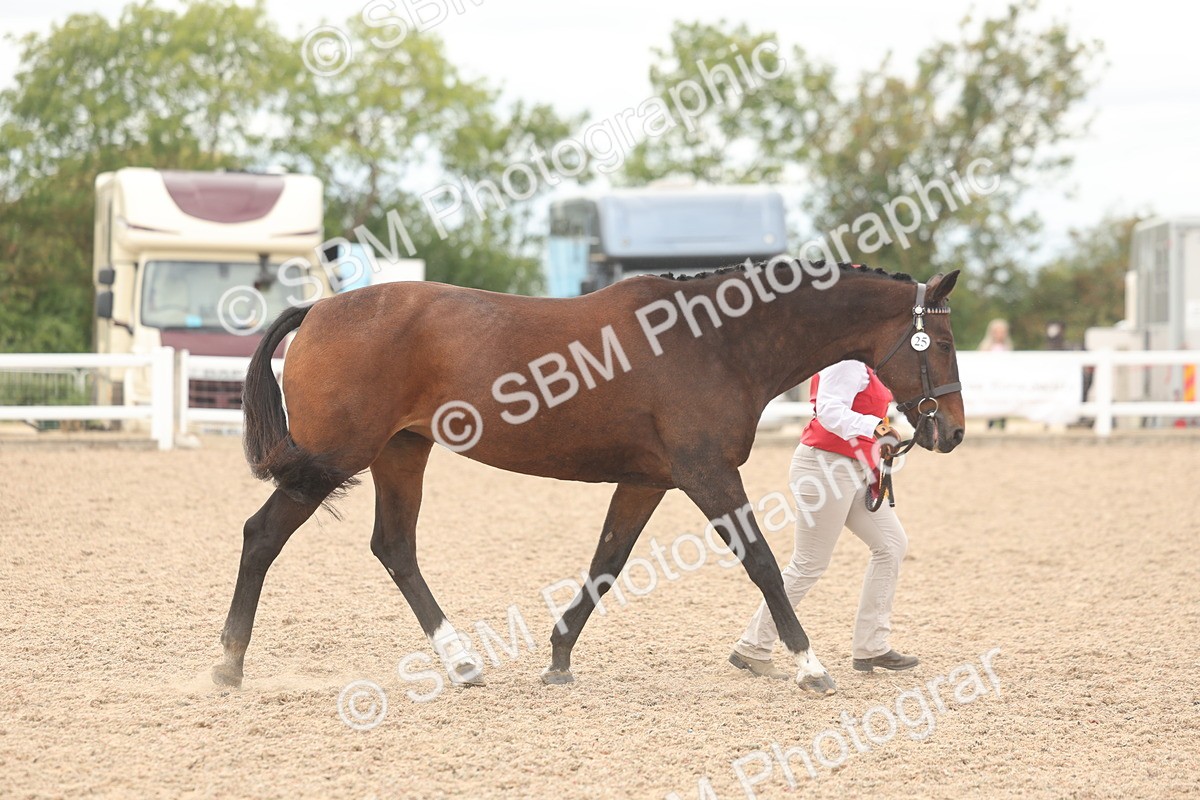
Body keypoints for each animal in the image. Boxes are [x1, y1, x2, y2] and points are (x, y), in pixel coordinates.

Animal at [211, 259, 964, 695]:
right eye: (942, 340)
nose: (951, 431)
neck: (715, 341)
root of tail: (320, 308)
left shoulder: (649, 481)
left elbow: (608, 562)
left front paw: (559, 655)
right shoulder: (708, 474)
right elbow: (764, 565)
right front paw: (810, 665)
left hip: (400, 452)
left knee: (394, 547)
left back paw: (460, 662)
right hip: (333, 459)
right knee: (261, 535)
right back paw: (227, 665)